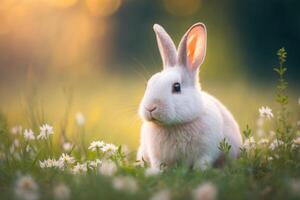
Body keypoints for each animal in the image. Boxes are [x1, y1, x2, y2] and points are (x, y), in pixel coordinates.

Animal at [137, 22, 243, 170]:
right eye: (150, 83)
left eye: (176, 87)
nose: (151, 107)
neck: (174, 125)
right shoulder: (157, 157)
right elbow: (159, 165)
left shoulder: (205, 153)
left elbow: (202, 163)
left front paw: (200, 171)